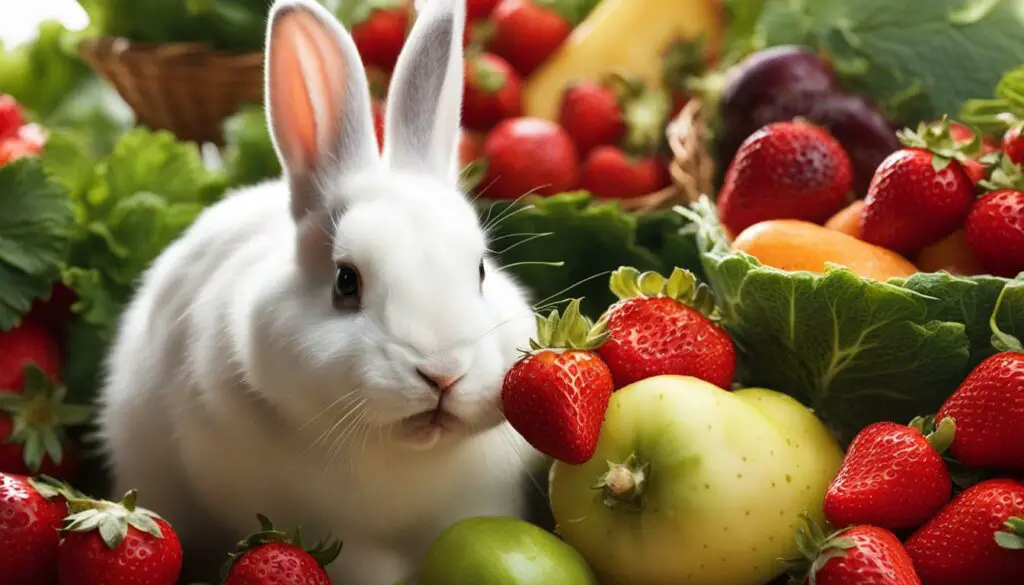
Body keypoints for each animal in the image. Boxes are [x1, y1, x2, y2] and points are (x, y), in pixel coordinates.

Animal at [96, 0, 544, 581]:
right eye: (345, 282)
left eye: (482, 271)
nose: (443, 373)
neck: (402, 458)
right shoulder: (329, 532)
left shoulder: (474, 503)